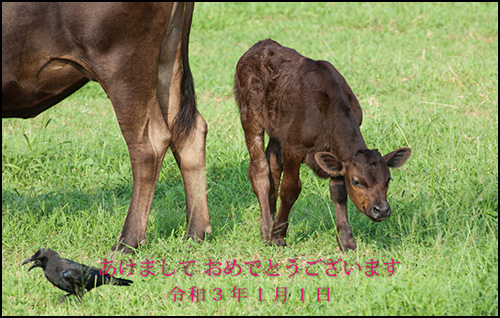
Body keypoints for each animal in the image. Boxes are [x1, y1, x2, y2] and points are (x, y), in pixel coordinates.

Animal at [1, 2, 211, 255]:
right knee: (189, 133)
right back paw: (195, 234)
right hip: (168, 59)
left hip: (123, 67)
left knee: (150, 144)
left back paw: (126, 242)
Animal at [234, 39, 410, 251]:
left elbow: (338, 193)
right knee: (259, 170)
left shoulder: (335, 155)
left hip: (276, 130)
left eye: (388, 180)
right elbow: (290, 190)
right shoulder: (293, 147)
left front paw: (346, 241)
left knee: (273, 165)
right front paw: (278, 237)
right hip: (250, 117)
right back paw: (267, 229)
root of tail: (259, 45)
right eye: (357, 182)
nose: (381, 210)